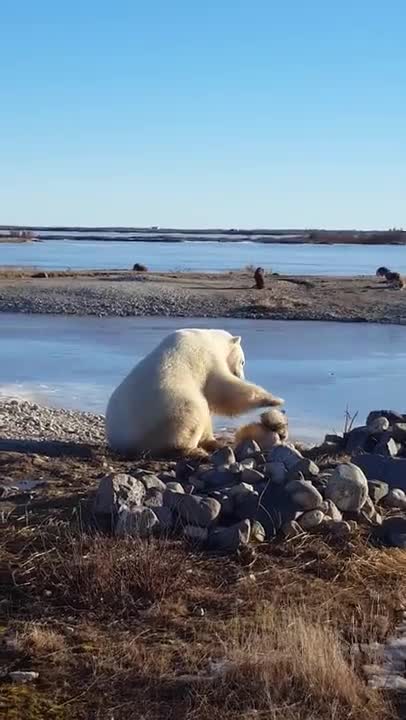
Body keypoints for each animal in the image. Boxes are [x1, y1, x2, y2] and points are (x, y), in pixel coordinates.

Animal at [105, 328, 282, 456]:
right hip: (170, 409)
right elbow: (223, 389)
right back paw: (195, 449)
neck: (209, 338)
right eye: (243, 361)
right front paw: (274, 399)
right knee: (194, 412)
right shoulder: (208, 359)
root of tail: (125, 441)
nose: (241, 375)